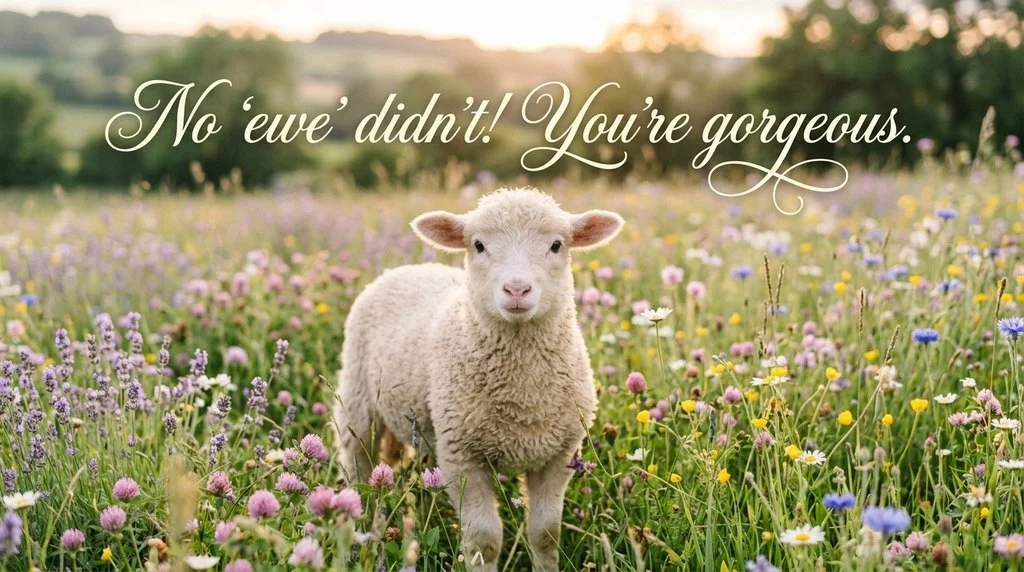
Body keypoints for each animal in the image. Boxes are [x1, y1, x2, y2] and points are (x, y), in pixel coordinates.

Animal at [333, 187, 624, 571]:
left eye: (557, 245)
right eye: (479, 245)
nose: (517, 290)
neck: (524, 396)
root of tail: (406, 268)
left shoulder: (559, 454)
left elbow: (546, 534)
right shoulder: (463, 457)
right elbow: (484, 541)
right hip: (357, 403)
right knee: (359, 472)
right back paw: (366, 535)